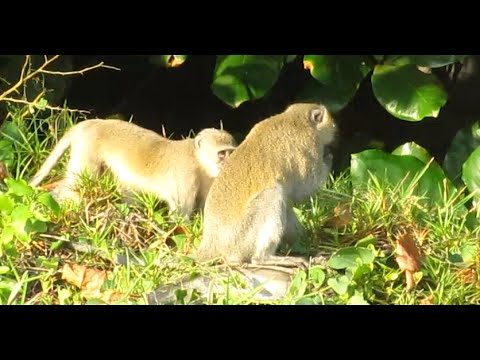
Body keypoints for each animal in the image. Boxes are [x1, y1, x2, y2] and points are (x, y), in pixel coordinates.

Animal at [27, 119, 236, 218]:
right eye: (222, 154)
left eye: (230, 153)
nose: (227, 164)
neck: (198, 160)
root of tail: (91, 123)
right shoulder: (186, 173)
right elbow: (180, 214)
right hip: (87, 147)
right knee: (82, 182)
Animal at [195, 103, 338, 268]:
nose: (334, 128)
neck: (294, 118)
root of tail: (211, 242)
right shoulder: (309, 147)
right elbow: (305, 189)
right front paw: (328, 156)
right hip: (241, 239)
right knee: (273, 194)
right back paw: (264, 258)